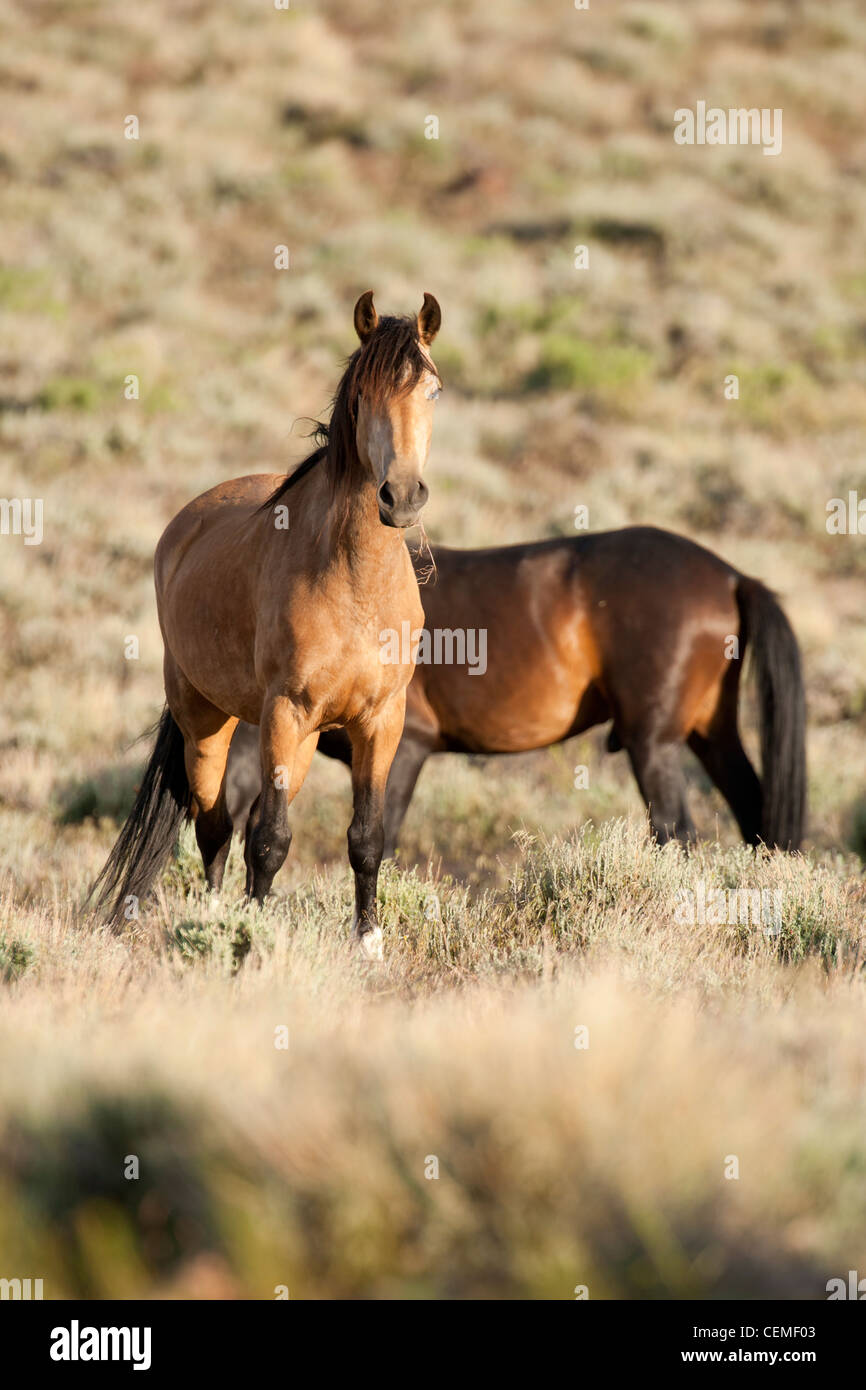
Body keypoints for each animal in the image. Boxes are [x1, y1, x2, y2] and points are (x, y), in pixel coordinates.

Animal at [92, 291, 443, 959]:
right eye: (364, 392)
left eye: (433, 390)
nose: (403, 495)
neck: (355, 583)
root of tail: (185, 524)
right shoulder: (286, 710)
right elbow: (271, 839)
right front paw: (246, 937)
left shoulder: (380, 720)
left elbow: (366, 837)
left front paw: (368, 942)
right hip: (211, 723)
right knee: (216, 826)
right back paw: (214, 919)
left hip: (297, 741)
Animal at [226, 527, 806, 854]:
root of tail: (731, 577)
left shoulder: (404, 748)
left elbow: (379, 839)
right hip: (711, 734)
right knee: (753, 812)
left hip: (654, 745)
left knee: (675, 832)